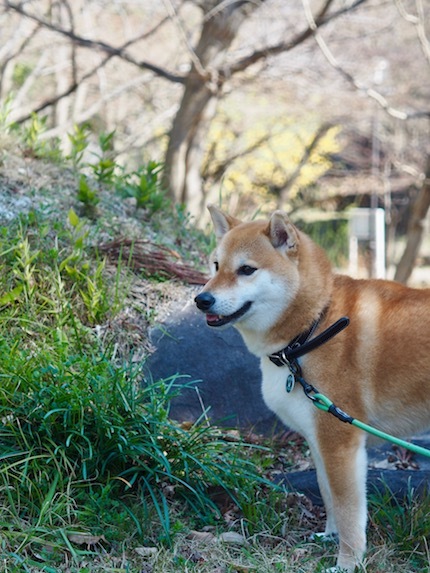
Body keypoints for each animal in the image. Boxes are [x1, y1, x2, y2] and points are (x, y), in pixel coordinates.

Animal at [196, 206, 430, 572]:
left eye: (246, 270)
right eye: (216, 265)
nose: (201, 299)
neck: (312, 328)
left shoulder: (341, 443)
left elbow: (349, 510)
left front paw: (348, 561)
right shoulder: (318, 440)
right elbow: (328, 494)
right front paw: (329, 536)